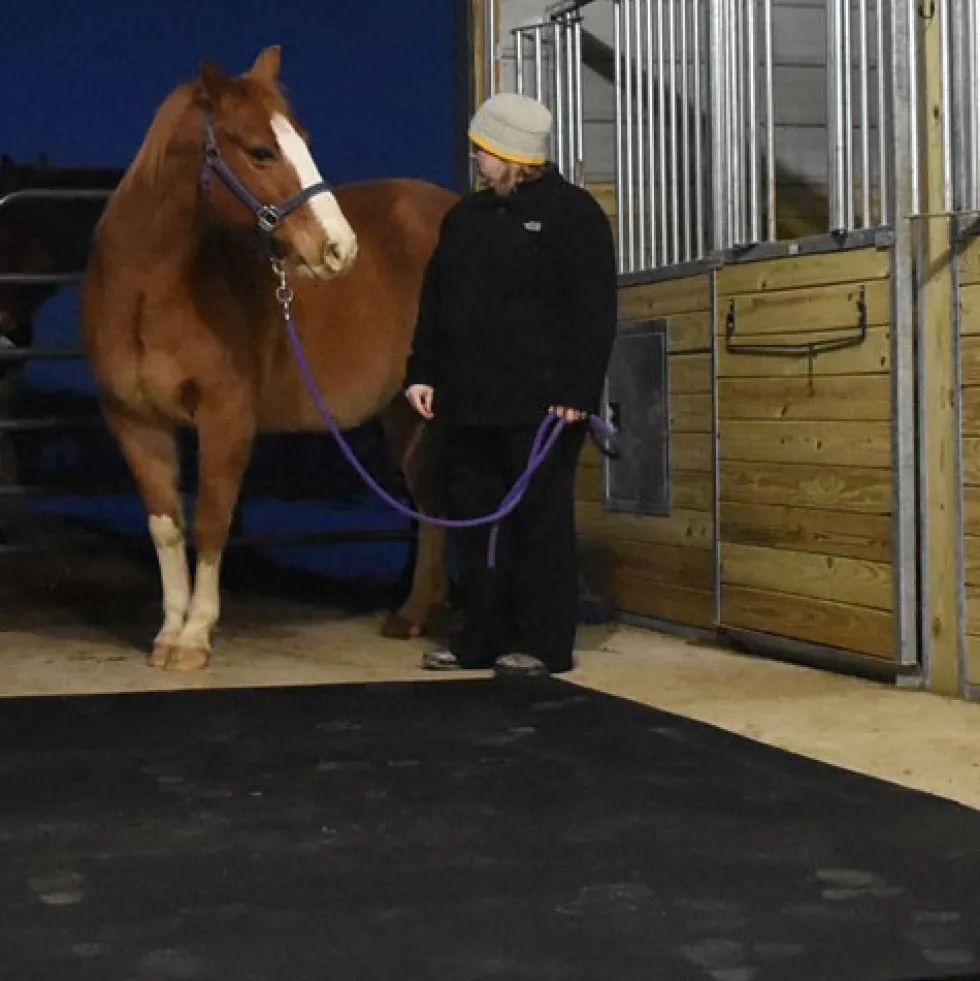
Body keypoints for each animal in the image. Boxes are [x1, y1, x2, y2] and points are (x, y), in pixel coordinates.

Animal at [81, 45, 459, 670]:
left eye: (303, 138)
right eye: (261, 150)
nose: (340, 249)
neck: (150, 292)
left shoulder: (227, 417)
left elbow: (212, 522)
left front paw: (194, 637)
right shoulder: (133, 421)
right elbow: (167, 527)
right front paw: (167, 635)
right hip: (408, 411)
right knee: (431, 499)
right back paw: (411, 617)